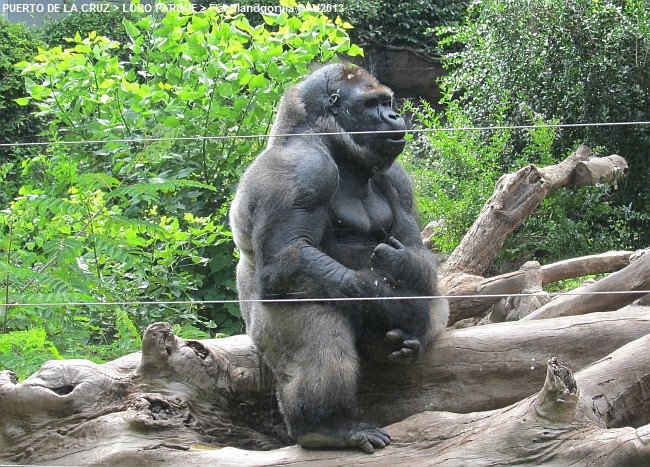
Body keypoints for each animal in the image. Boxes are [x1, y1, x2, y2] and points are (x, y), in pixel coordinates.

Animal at [230, 62, 448, 454]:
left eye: (387, 101)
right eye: (372, 104)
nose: (395, 116)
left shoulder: (397, 178)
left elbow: (417, 252)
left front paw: (400, 266)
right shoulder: (304, 170)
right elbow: (290, 256)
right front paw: (393, 301)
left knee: (436, 301)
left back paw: (401, 344)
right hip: (262, 332)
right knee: (319, 334)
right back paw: (324, 426)